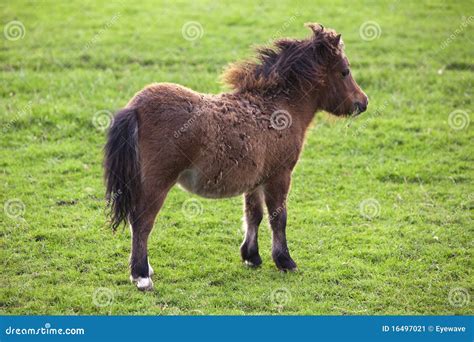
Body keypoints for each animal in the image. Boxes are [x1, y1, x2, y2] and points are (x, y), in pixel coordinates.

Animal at [104, 22, 370, 290]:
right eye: (345, 71)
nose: (363, 102)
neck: (278, 108)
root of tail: (135, 108)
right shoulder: (280, 175)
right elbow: (278, 218)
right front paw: (285, 261)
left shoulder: (256, 179)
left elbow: (254, 215)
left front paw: (252, 256)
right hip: (157, 183)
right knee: (142, 222)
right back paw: (141, 275)